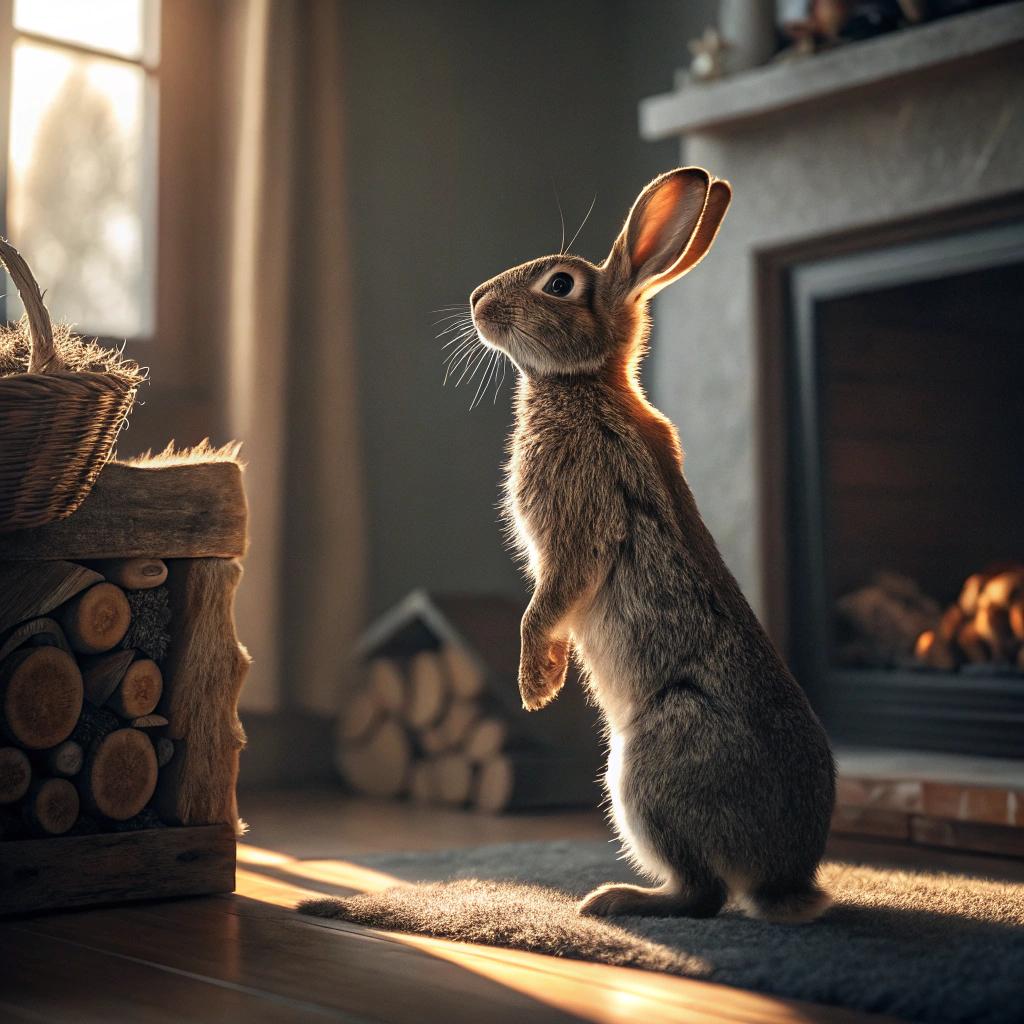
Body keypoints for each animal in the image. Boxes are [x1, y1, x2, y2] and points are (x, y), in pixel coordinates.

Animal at [468, 168, 835, 923]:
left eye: (559, 284)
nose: (477, 302)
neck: (583, 383)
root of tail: (785, 877)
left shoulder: (577, 521)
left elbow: (548, 601)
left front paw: (536, 685)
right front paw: (547, 678)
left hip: (644, 766)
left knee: (703, 894)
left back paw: (611, 901)